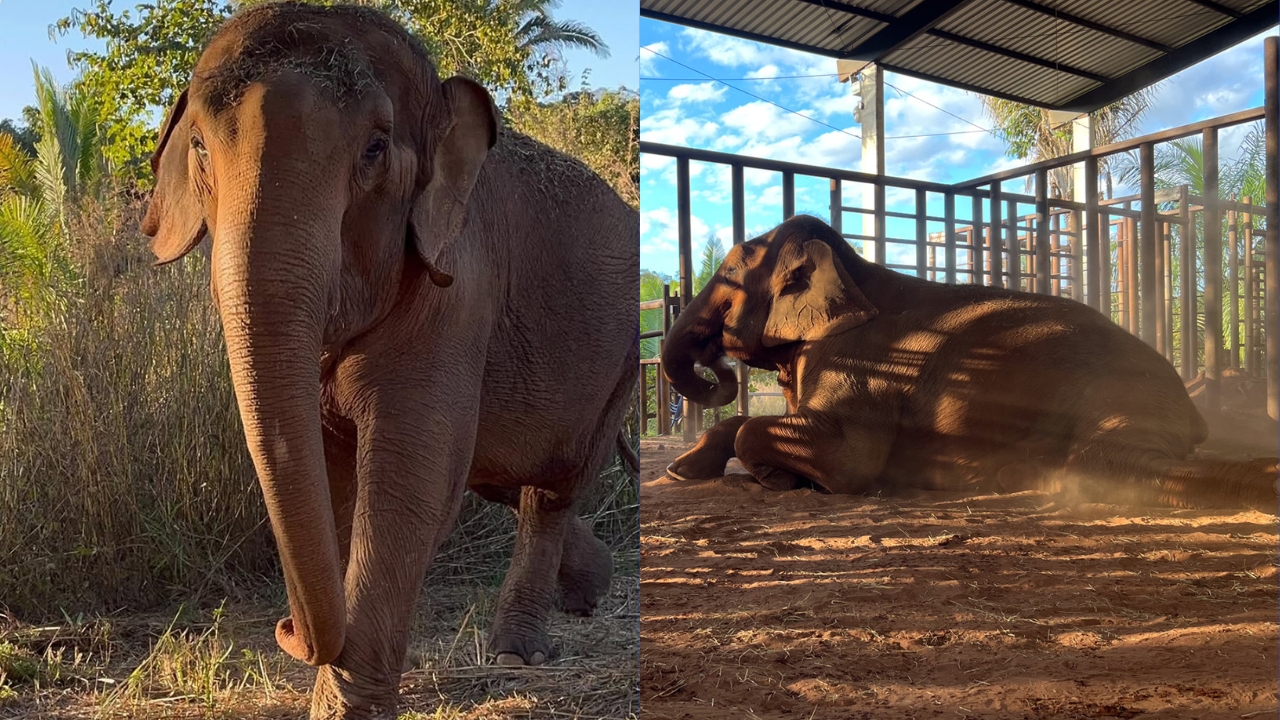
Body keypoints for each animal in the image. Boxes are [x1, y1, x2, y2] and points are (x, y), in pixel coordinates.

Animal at [141, 4, 636, 719]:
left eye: (375, 148)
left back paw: (518, 653)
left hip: (621, 362)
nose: (287, 630)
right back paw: (587, 590)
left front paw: (342, 708)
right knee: (505, 481)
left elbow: (409, 484)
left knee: (551, 488)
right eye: (201, 147)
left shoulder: (458, 292)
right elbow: (332, 476)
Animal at [661, 215, 1277, 513]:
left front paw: (779, 478)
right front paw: (681, 471)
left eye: (731, 271)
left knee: (1105, 461)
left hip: (1114, 393)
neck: (852, 267)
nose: (715, 362)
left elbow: (848, 460)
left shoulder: (858, 364)